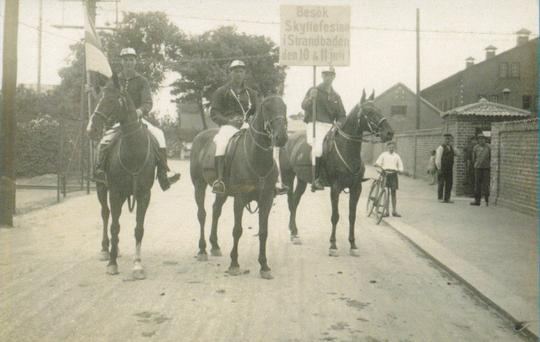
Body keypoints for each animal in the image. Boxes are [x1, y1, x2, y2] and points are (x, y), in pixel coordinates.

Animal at [85, 78, 155, 278]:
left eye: (112, 99)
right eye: (99, 97)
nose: (91, 129)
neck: (133, 151)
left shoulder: (143, 195)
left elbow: (139, 229)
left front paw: (137, 265)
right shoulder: (115, 193)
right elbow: (114, 226)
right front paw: (112, 263)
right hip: (102, 189)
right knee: (106, 214)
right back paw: (105, 250)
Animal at [192, 95, 288, 280]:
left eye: (285, 107)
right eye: (267, 108)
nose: (282, 137)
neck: (256, 158)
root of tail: (200, 136)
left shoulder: (266, 199)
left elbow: (263, 232)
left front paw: (264, 265)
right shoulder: (240, 199)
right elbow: (237, 230)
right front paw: (234, 264)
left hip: (222, 193)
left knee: (215, 211)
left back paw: (214, 245)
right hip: (198, 185)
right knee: (202, 214)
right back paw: (202, 249)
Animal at [278, 95, 392, 255]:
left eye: (380, 109)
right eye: (369, 112)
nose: (389, 133)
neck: (347, 149)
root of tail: (289, 138)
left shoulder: (356, 188)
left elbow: (352, 216)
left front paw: (353, 245)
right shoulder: (335, 188)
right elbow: (335, 216)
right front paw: (332, 245)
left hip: (301, 180)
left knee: (294, 201)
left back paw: (294, 232)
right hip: (288, 176)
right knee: (291, 201)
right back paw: (293, 233)